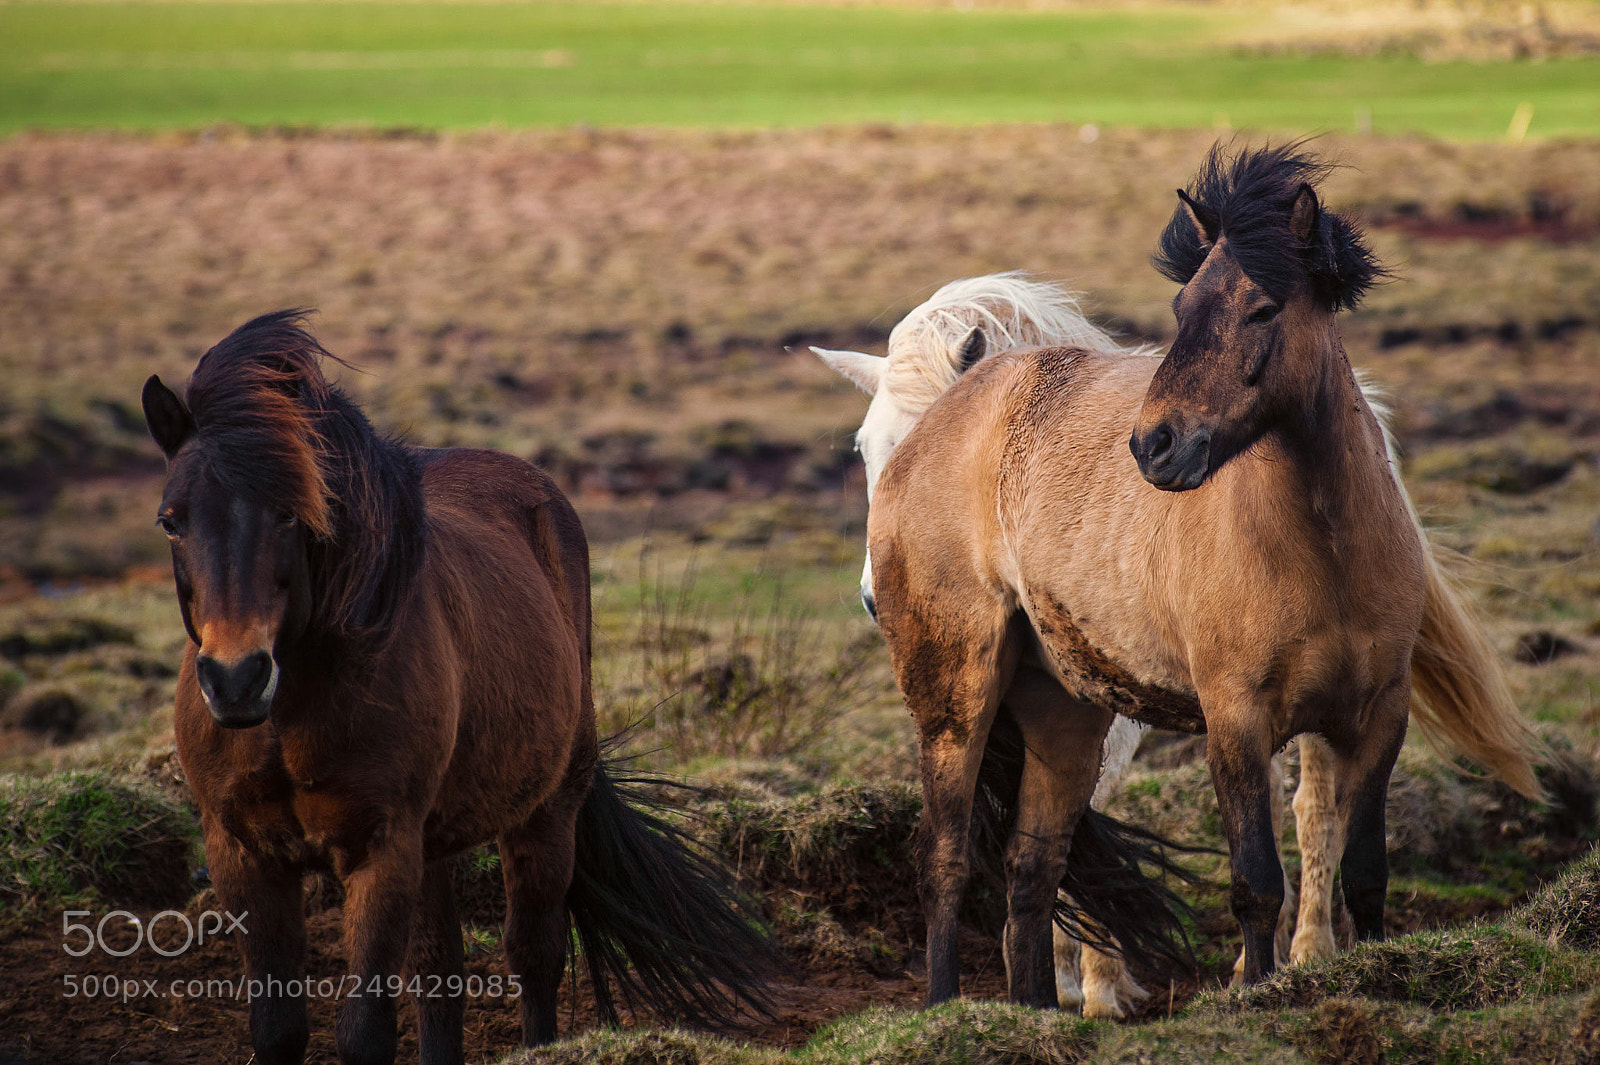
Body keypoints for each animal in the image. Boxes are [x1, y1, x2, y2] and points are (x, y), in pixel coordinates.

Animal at [141, 311, 781, 1065]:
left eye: (293, 514)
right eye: (171, 519)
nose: (237, 679)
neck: (291, 714)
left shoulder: (381, 852)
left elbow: (365, 1033)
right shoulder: (243, 855)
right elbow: (280, 1029)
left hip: (546, 810)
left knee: (533, 954)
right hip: (434, 847)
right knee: (439, 973)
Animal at [821, 143, 1543, 1008]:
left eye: (1262, 309)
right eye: (1181, 308)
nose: (1155, 445)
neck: (1322, 542)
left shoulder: (1377, 714)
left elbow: (1362, 868)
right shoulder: (1231, 717)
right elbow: (1251, 879)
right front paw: (1194, 991)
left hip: (1070, 714)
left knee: (1066, 860)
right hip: (961, 707)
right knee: (952, 857)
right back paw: (952, 1008)